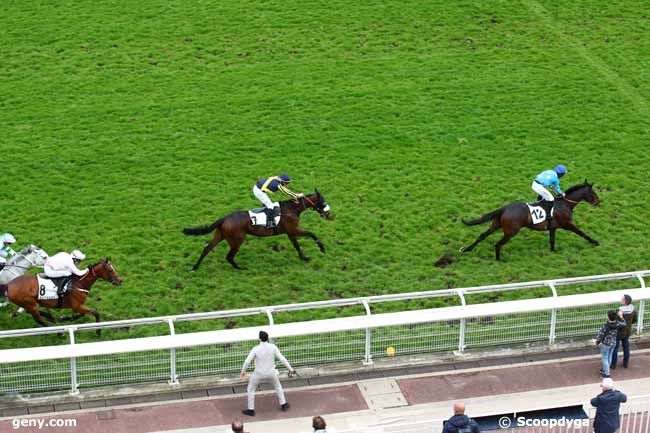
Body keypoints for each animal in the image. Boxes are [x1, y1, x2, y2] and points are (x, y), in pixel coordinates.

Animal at [184, 190, 332, 268]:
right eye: (323, 201)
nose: (328, 215)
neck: (291, 209)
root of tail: (225, 218)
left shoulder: (290, 232)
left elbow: (296, 245)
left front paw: (304, 258)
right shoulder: (293, 229)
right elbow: (312, 234)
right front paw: (322, 248)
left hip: (220, 235)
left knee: (207, 249)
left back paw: (195, 267)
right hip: (236, 240)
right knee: (229, 256)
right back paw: (240, 268)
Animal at [458, 180, 600, 260]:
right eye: (593, 193)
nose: (598, 202)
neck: (564, 204)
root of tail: (504, 208)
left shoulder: (553, 227)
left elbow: (552, 240)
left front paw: (553, 252)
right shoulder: (568, 224)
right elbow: (582, 233)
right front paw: (595, 242)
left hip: (496, 225)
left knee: (482, 236)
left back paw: (466, 249)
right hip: (511, 231)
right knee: (498, 244)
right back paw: (499, 260)